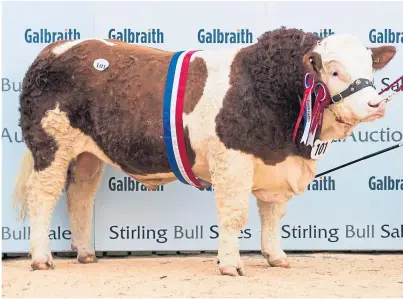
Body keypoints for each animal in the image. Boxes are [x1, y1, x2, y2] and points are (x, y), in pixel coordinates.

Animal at [12, 27, 398, 276]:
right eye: (333, 71)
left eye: (370, 68)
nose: (375, 104)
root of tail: (55, 48)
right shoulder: (233, 159)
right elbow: (235, 214)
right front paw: (230, 264)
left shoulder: (275, 162)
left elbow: (273, 215)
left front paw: (277, 257)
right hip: (50, 145)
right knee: (42, 197)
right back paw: (42, 259)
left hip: (88, 156)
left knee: (79, 196)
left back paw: (87, 255)